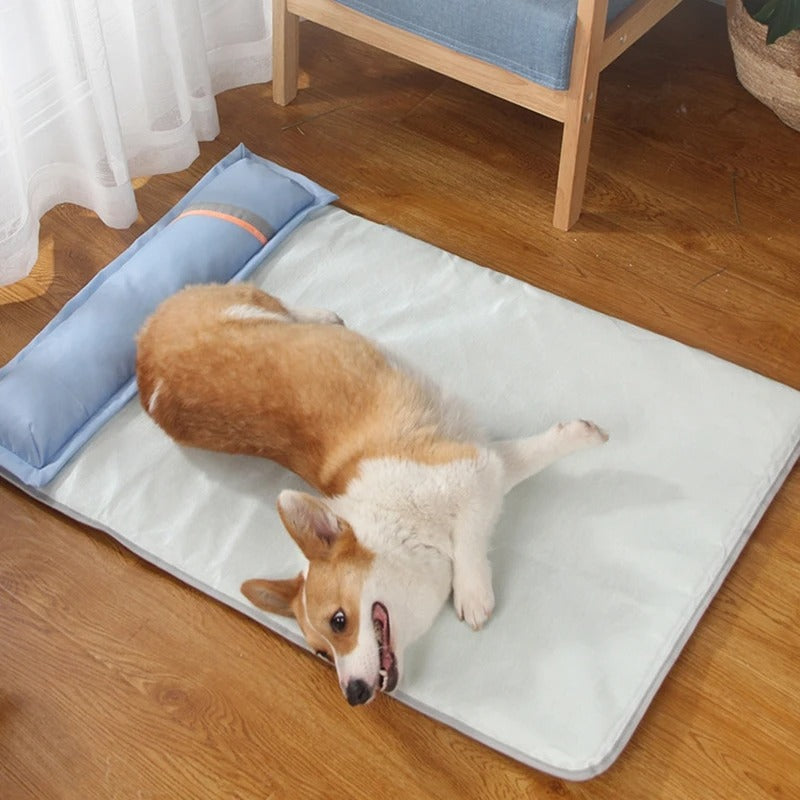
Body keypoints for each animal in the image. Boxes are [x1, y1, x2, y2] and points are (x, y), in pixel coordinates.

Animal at [136, 282, 608, 708]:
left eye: (340, 621)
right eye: (322, 654)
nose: (354, 695)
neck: (402, 520)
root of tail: (140, 355)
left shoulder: (473, 472)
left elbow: (472, 536)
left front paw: (471, 594)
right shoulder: (483, 465)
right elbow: (528, 459)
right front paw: (581, 434)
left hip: (250, 307)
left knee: (280, 304)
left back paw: (321, 316)